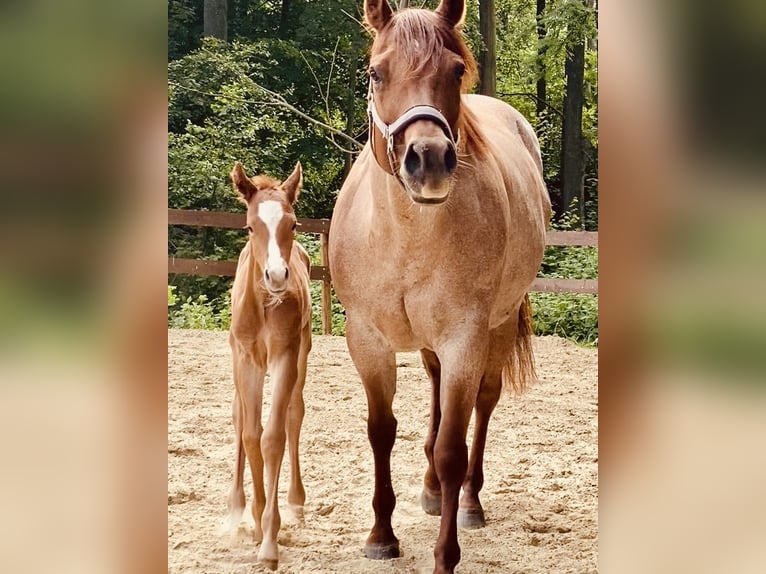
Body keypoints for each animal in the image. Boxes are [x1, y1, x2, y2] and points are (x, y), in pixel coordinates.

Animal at [328, 2, 551, 573]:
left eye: (455, 71)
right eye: (375, 72)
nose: (427, 160)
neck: (407, 237)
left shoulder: (464, 339)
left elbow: (454, 445)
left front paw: (445, 555)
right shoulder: (367, 341)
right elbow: (381, 431)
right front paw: (381, 535)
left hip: (498, 325)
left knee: (482, 406)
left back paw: (468, 502)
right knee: (433, 394)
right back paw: (430, 491)